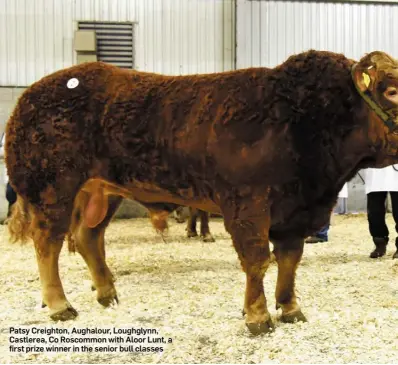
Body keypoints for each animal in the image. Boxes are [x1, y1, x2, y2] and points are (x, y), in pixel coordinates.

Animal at [5, 49, 398, 334]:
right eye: (392, 91)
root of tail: (32, 94)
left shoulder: (295, 211)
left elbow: (289, 259)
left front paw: (290, 308)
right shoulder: (247, 204)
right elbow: (258, 259)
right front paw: (257, 317)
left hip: (102, 191)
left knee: (88, 237)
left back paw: (106, 293)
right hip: (52, 190)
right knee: (48, 243)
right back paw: (60, 305)